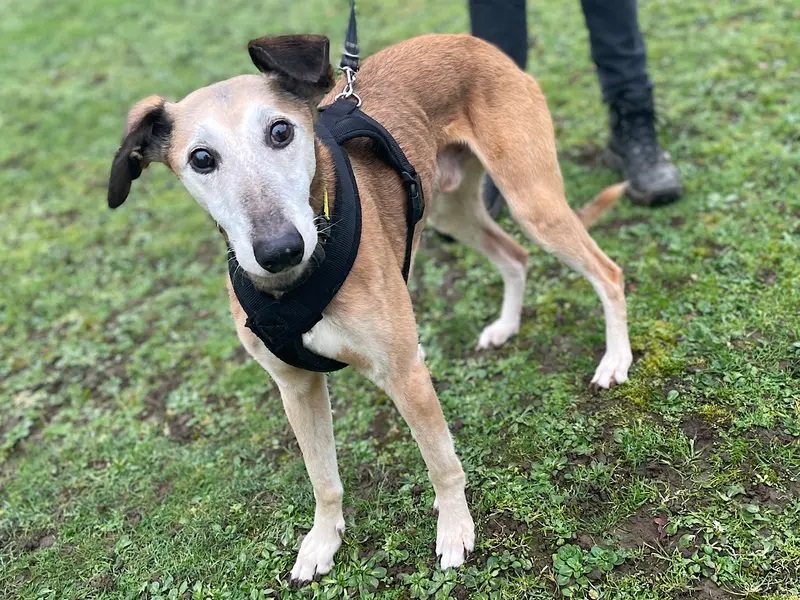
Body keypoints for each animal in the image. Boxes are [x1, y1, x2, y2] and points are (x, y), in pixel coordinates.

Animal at [108, 32, 632, 580]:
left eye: (280, 131)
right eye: (201, 159)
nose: (280, 250)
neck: (295, 286)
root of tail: (469, 41)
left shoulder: (405, 373)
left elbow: (442, 463)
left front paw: (455, 531)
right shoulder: (296, 387)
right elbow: (323, 478)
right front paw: (323, 540)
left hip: (531, 200)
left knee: (607, 273)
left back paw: (616, 359)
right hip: (451, 210)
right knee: (515, 255)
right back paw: (506, 326)